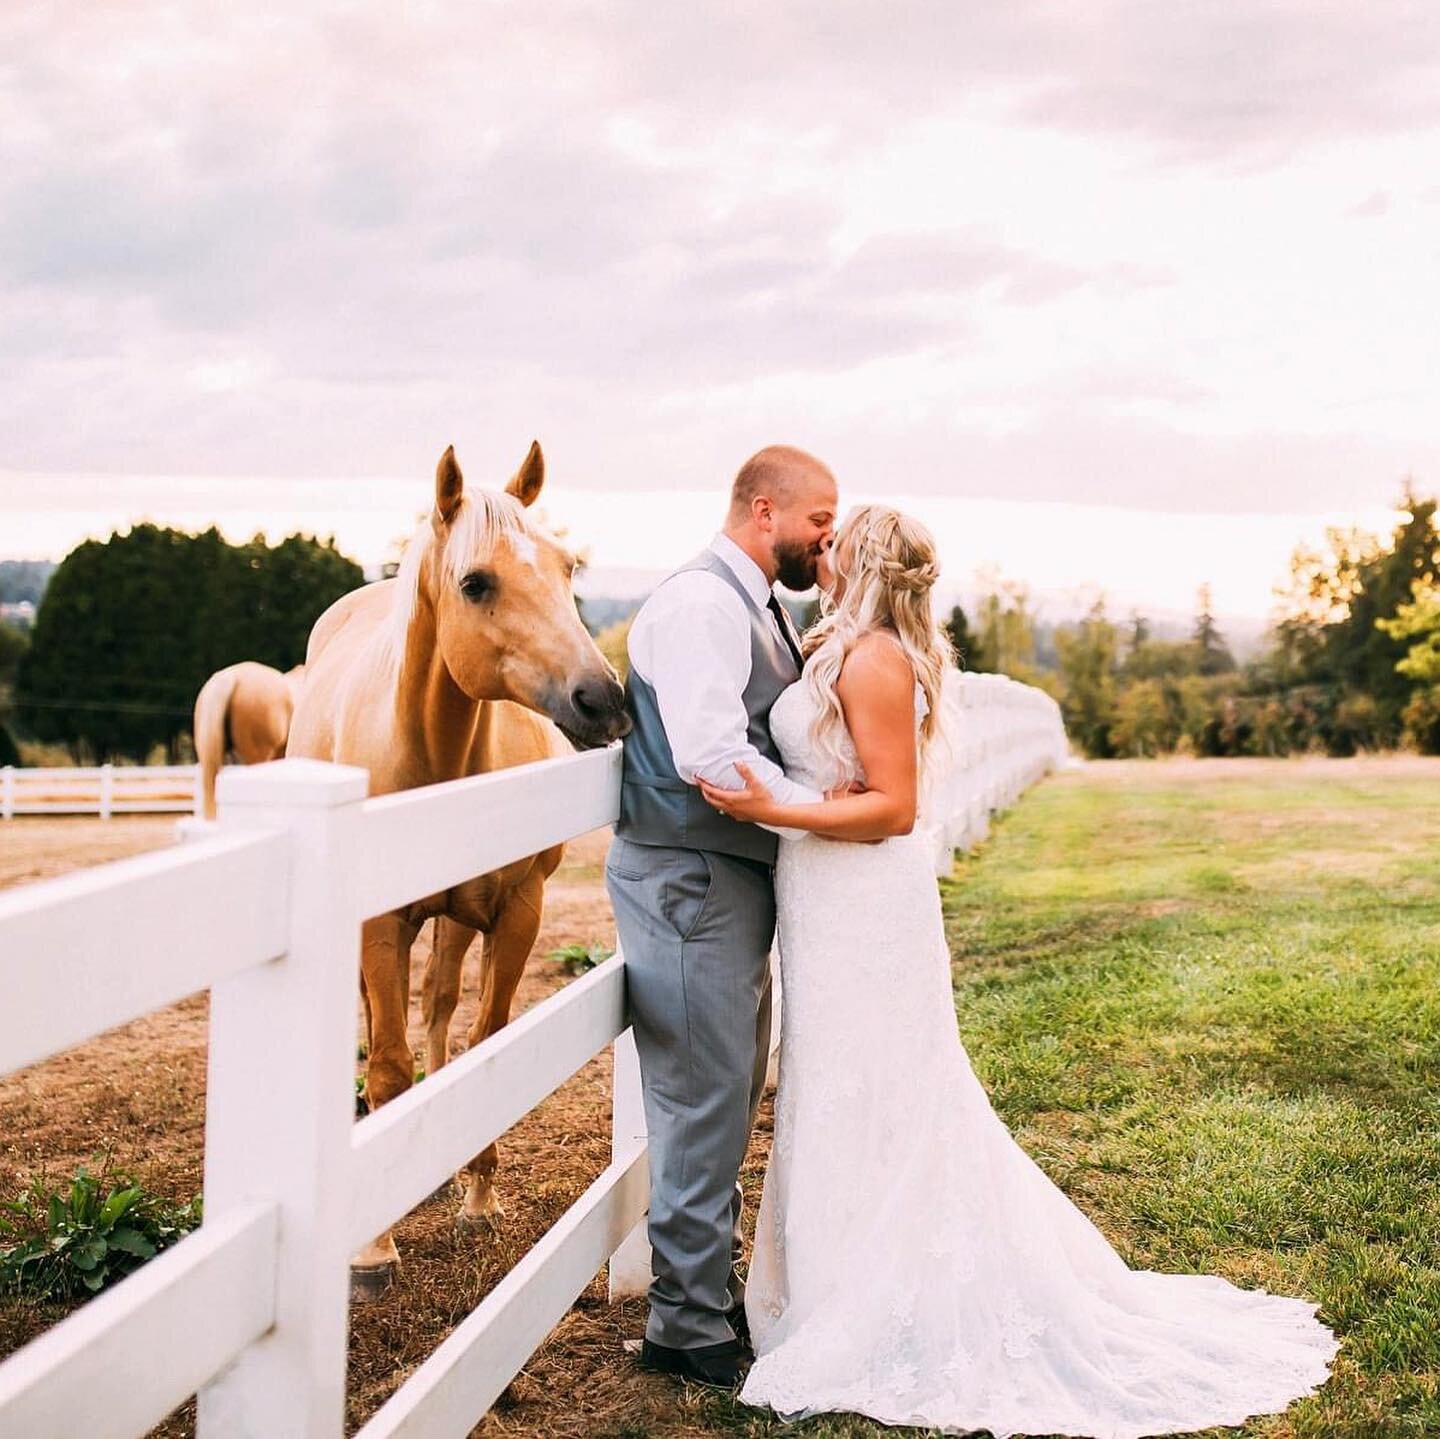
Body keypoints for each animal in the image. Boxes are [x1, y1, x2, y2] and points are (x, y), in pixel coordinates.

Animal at [286, 437, 630, 1296]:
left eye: (566, 567)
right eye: (477, 582)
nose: (603, 698)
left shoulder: (517, 912)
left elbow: (483, 1044)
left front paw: (478, 1195)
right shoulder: (380, 926)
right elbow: (388, 1066)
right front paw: (372, 1250)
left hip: (455, 919)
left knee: (440, 1008)